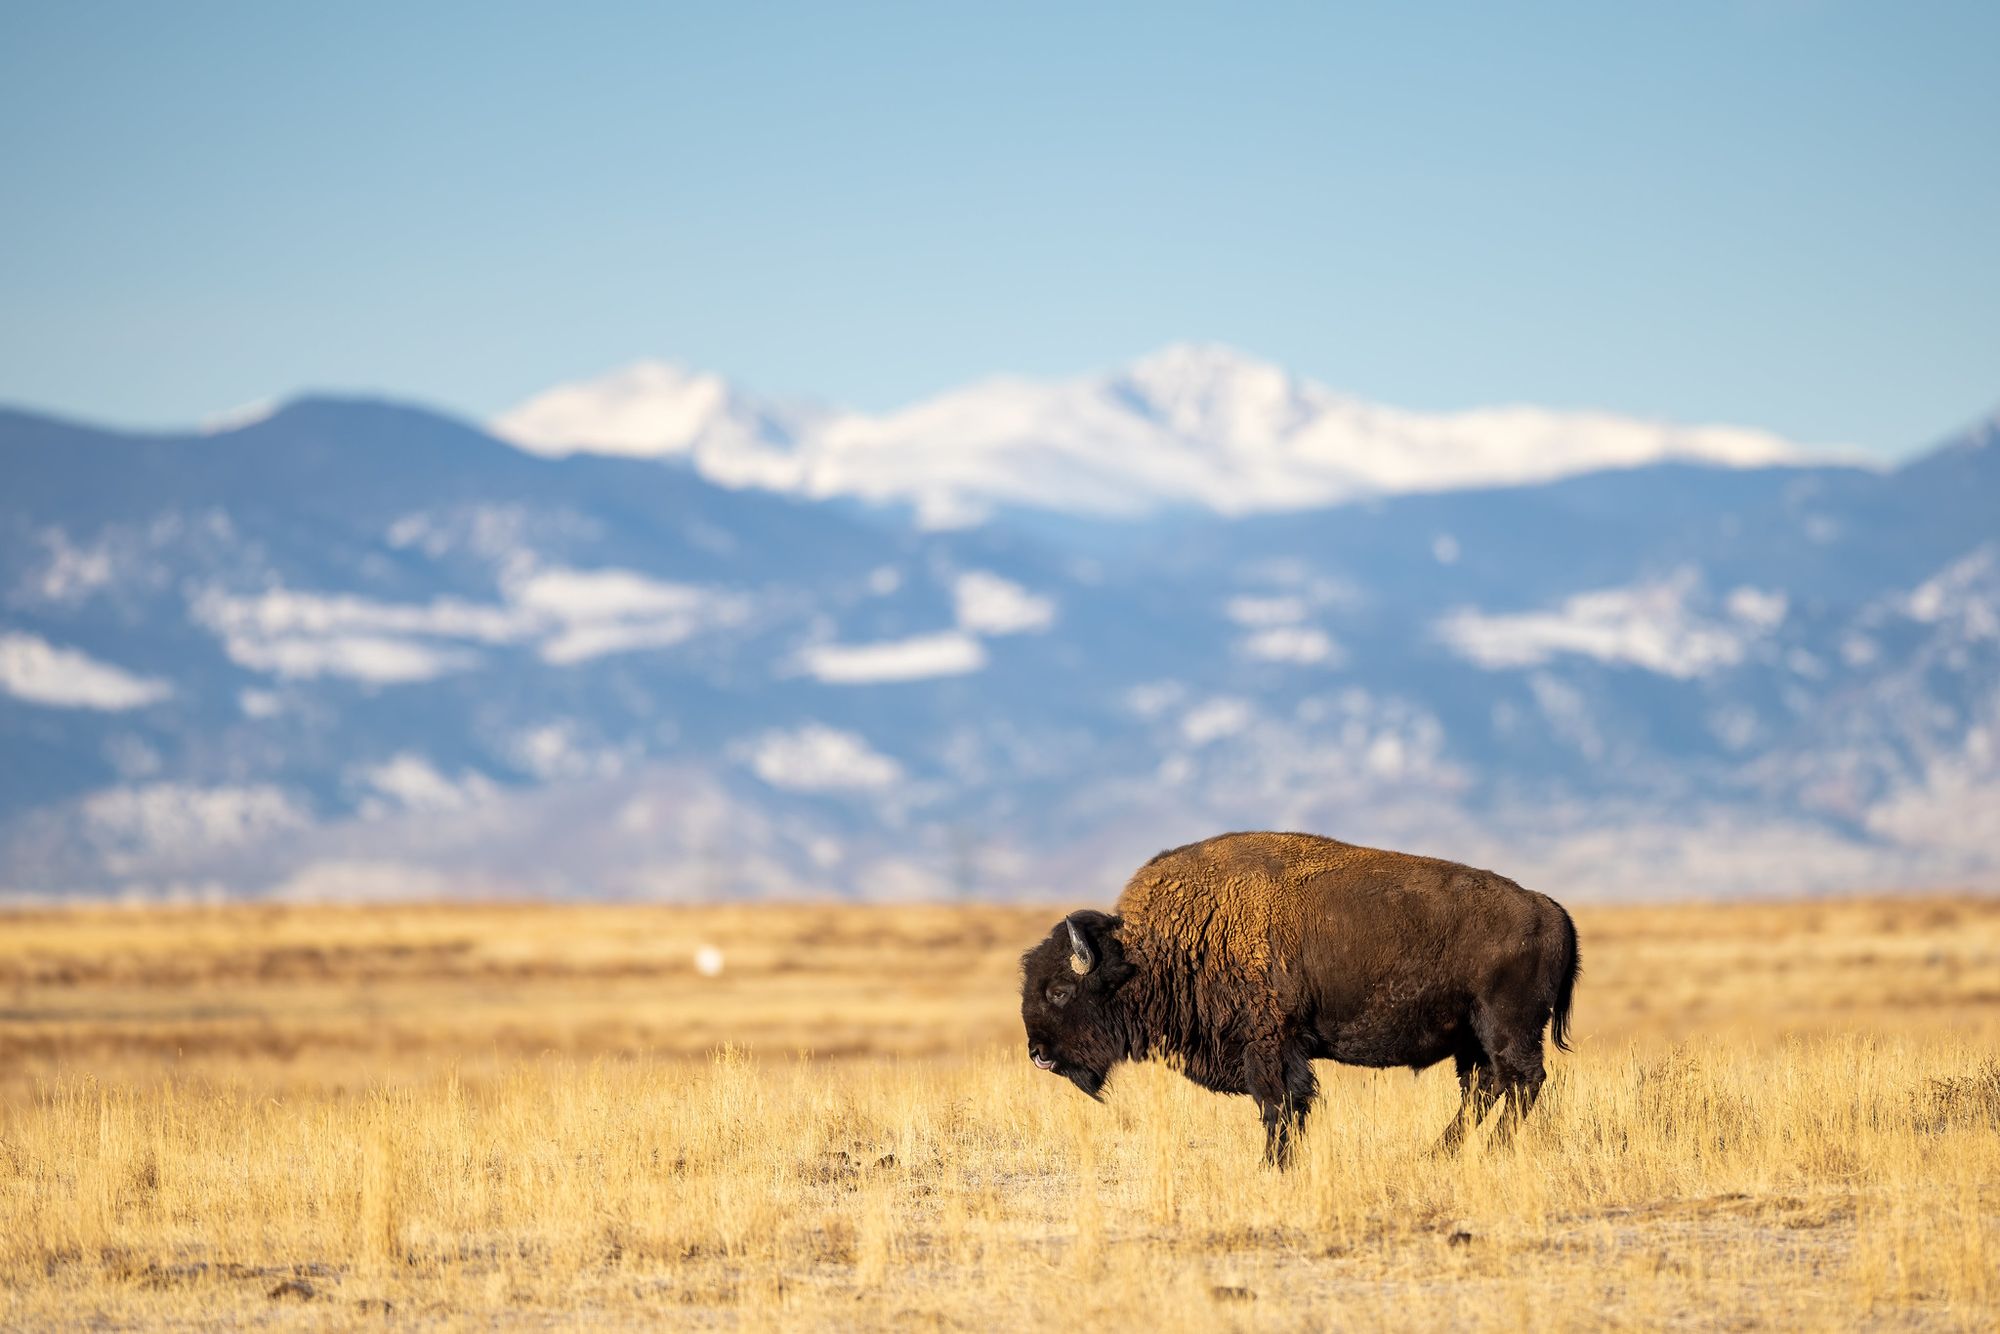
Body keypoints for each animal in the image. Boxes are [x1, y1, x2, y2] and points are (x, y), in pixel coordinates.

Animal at [1024, 828, 1584, 1160]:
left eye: (1059, 990)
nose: (1038, 1054)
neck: (1156, 949)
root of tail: (1550, 908)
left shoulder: (1268, 1045)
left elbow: (1278, 1104)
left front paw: (1274, 1164)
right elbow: (1290, 1105)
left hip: (1506, 1026)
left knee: (1521, 1080)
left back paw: (1492, 1152)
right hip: (1473, 1038)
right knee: (1484, 1087)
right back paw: (1437, 1153)